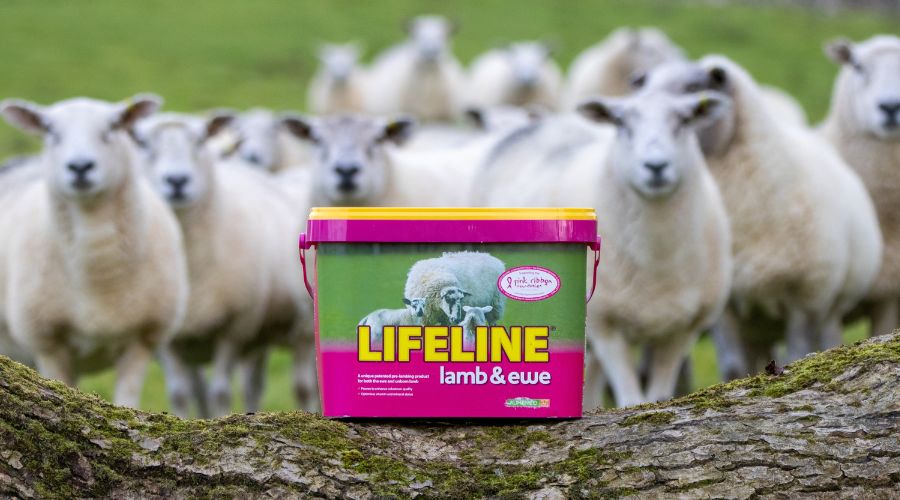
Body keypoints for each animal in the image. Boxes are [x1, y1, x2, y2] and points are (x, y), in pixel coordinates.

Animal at [0, 94, 188, 410]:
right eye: (50, 130)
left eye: (112, 127)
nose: (80, 167)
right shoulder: (49, 343)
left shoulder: (142, 340)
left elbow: (127, 400)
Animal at [139, 113, 312, 418]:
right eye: (144, 144)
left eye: (199, 141)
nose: (177, 181)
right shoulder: (171, 339)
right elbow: (181, 394)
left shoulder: (233, 329)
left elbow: (219, 392)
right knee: (252, 384)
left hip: (299, 331)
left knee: (303, 386)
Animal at [644, 56, 884, 376]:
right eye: (643, 84)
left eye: (694, 88)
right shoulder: (725, 310)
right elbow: (733, 367)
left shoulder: (804, 300)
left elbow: (798, 353)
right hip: (757, 326)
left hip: (828, 307)